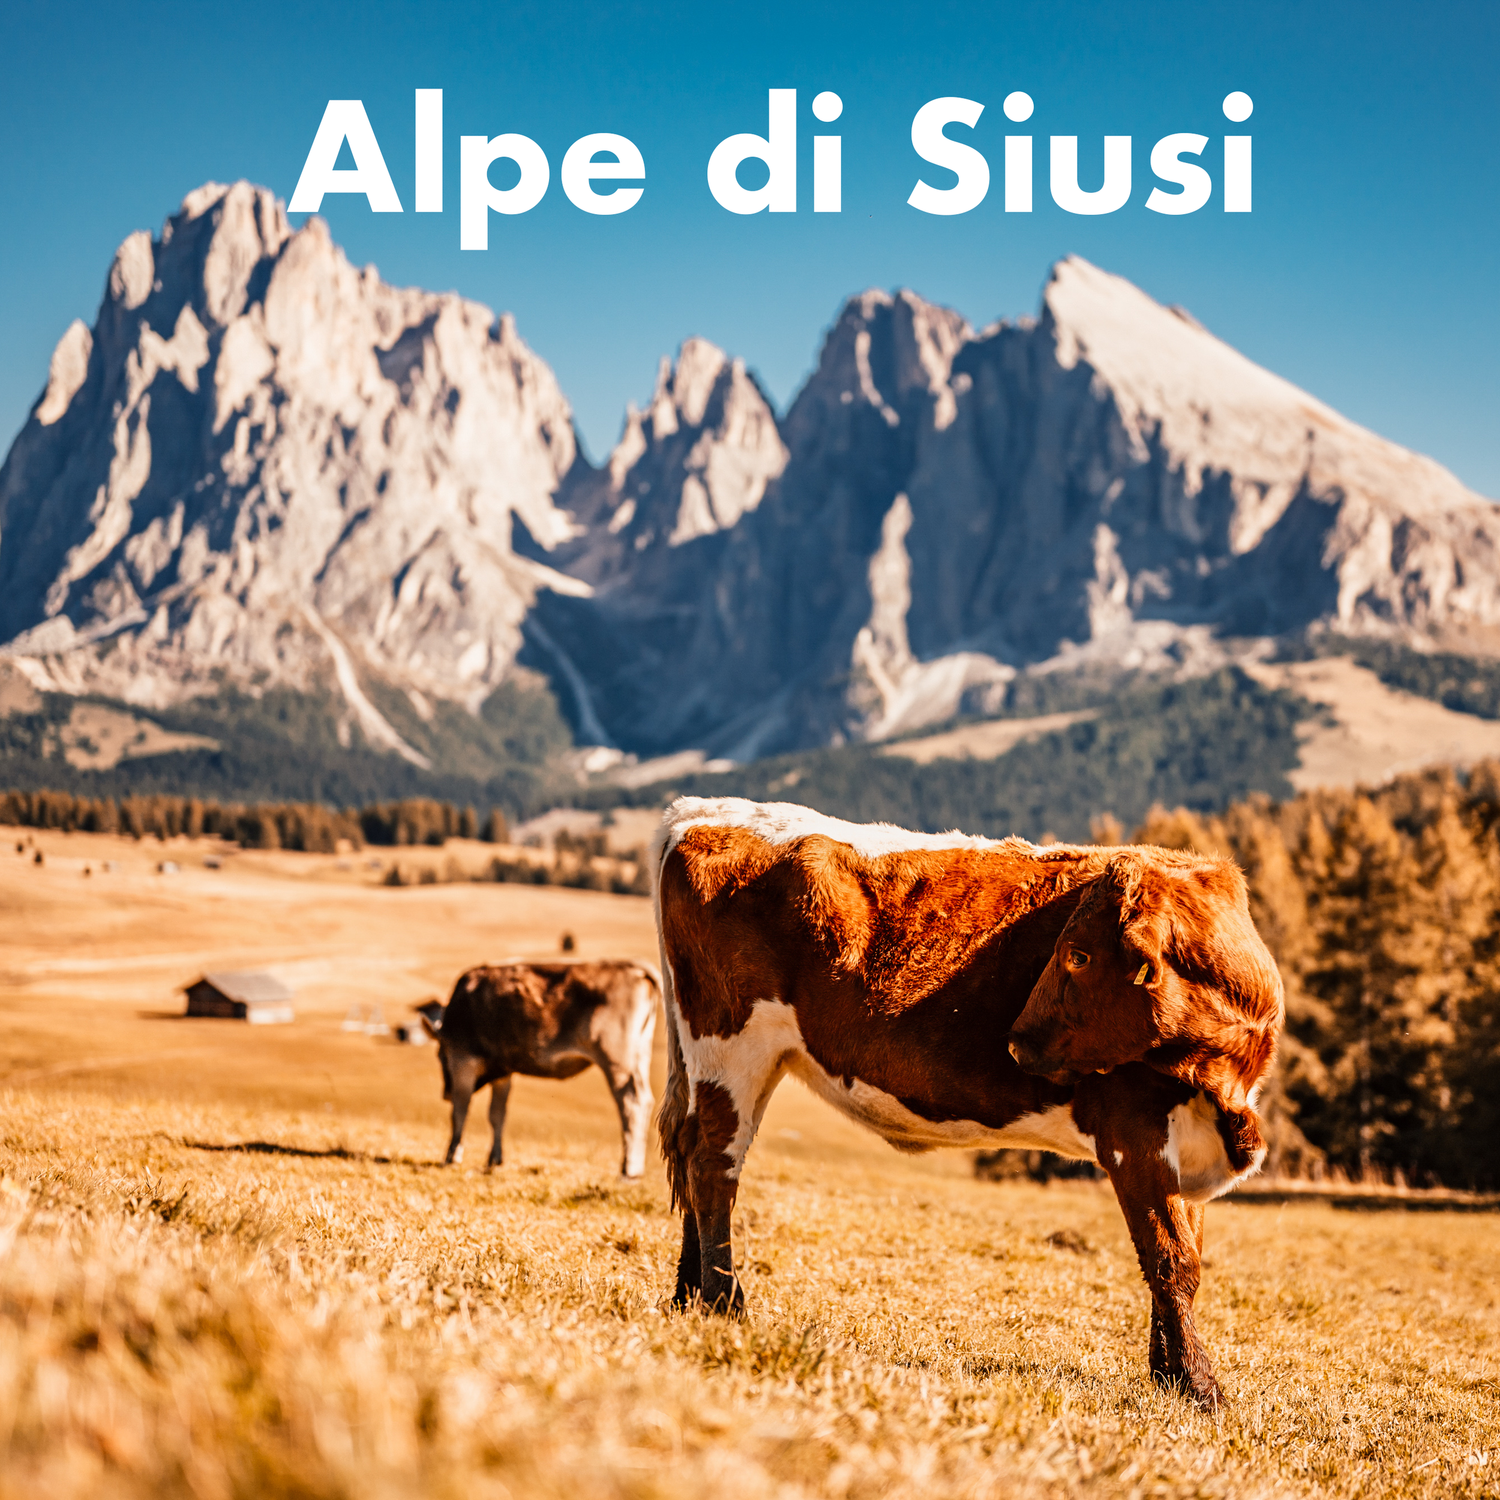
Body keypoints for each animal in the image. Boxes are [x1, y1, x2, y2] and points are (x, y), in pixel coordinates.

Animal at [420, 960, 660, 1179]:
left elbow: (460, 1110)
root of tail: (632, 968)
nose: (445, 1093)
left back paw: (629, 1168)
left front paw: (451, 1157)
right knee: (645, 1100)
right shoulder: (503, 1070)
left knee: (631, 1102)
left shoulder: (463, 1061)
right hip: (639, 1057)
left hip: (617, 1062)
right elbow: (497, 1114)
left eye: (441, 1055)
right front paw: (494, 1160)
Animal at [652, 797, 1283, 1410]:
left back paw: (688, 1296)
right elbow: (1170, 1261)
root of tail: (699, 812)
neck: (1225, 1087)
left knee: (690, 1154)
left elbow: (1181, 1259)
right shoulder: (1136, 1137)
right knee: (713, 1166)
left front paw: (1169, 1375)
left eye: (1077, 955)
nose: (1016, 1040)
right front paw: (1200, 1387)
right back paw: (724, 1305)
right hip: (731, 1048)